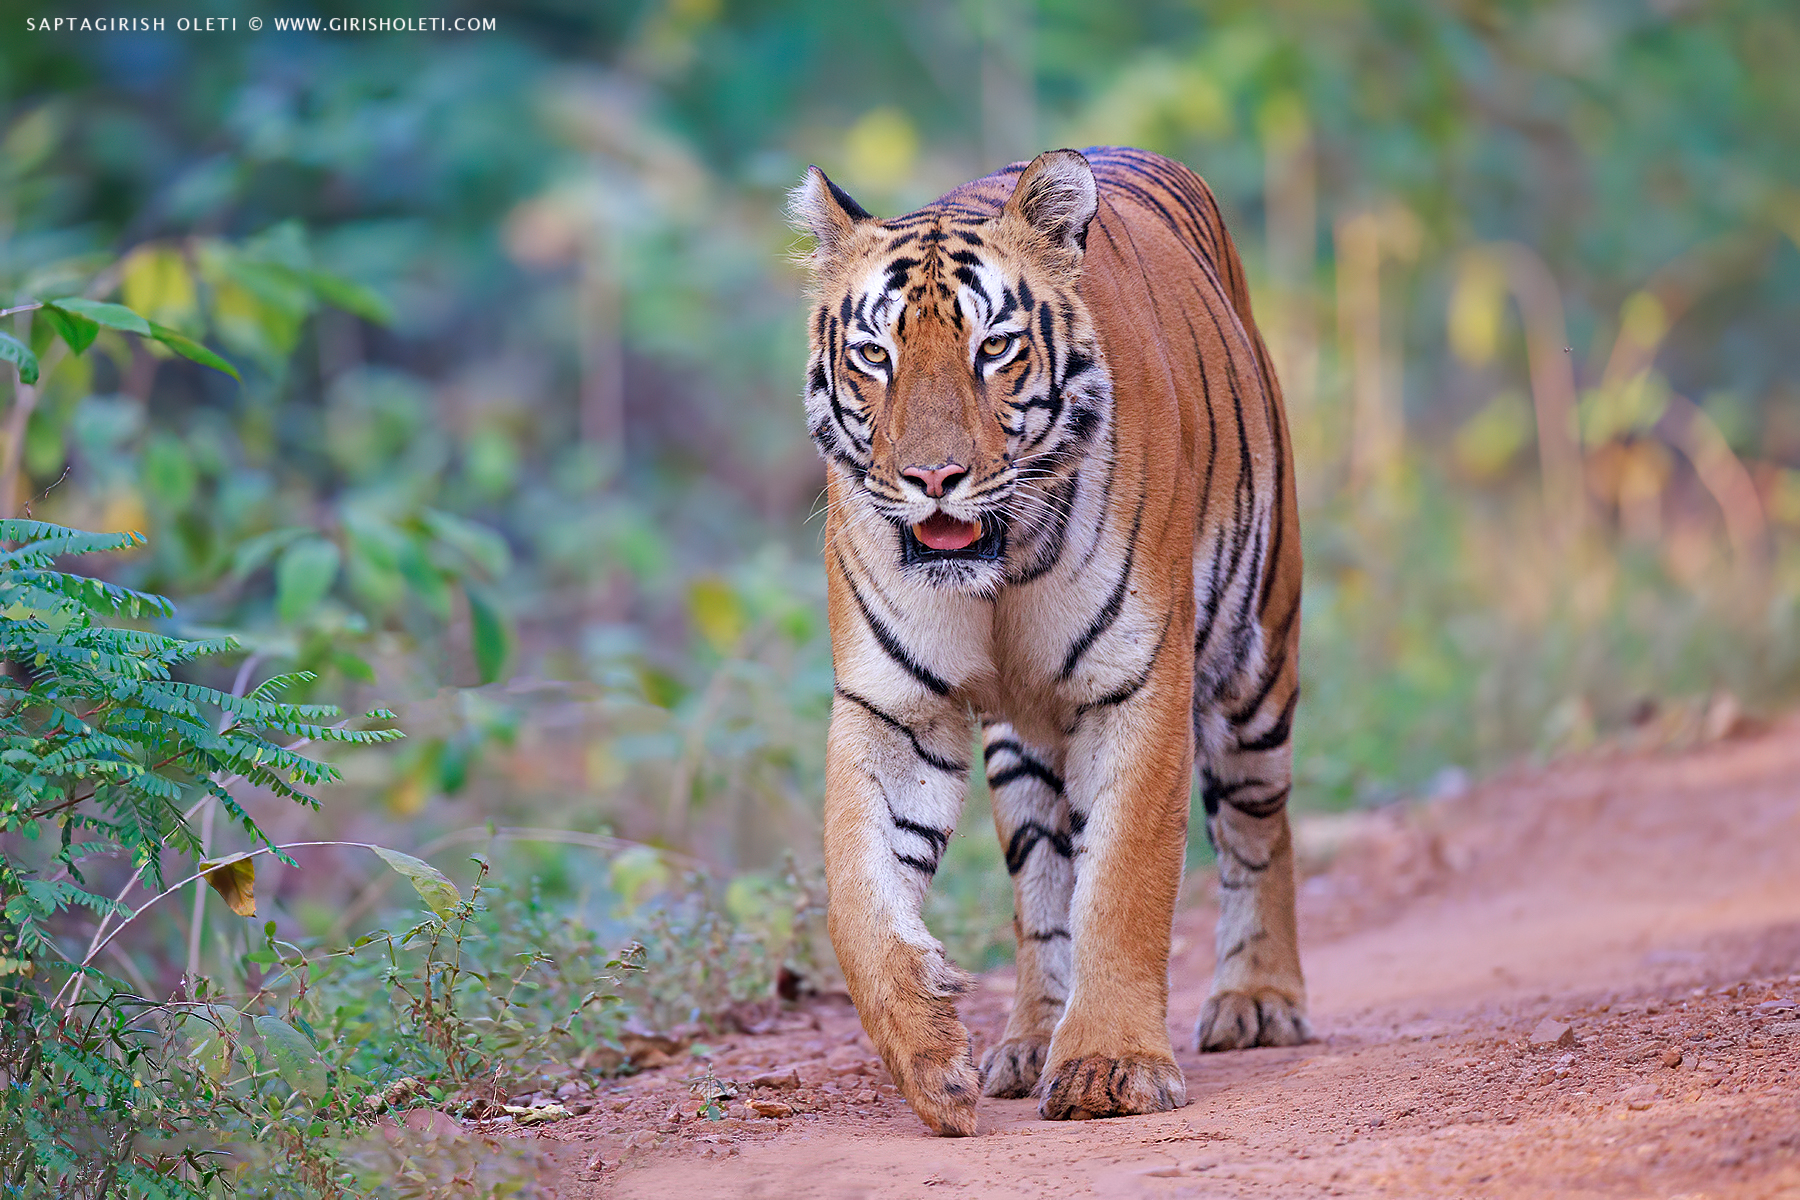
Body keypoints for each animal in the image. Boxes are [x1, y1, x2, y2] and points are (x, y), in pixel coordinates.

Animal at [789, 146, 1307, 1136]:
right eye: (875, 355)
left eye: (994, 347)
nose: (934, 478)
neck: (1002, 567)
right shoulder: (894, 705)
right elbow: (858, 897)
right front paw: (933, 1064)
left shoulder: (1137, 682)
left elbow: (1126, 883)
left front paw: (1110, 1066)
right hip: (1022, 754)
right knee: (1041, 886)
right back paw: (1027, 1041)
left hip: (1255, 665)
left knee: (1258, 825)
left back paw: (1259, 1000)